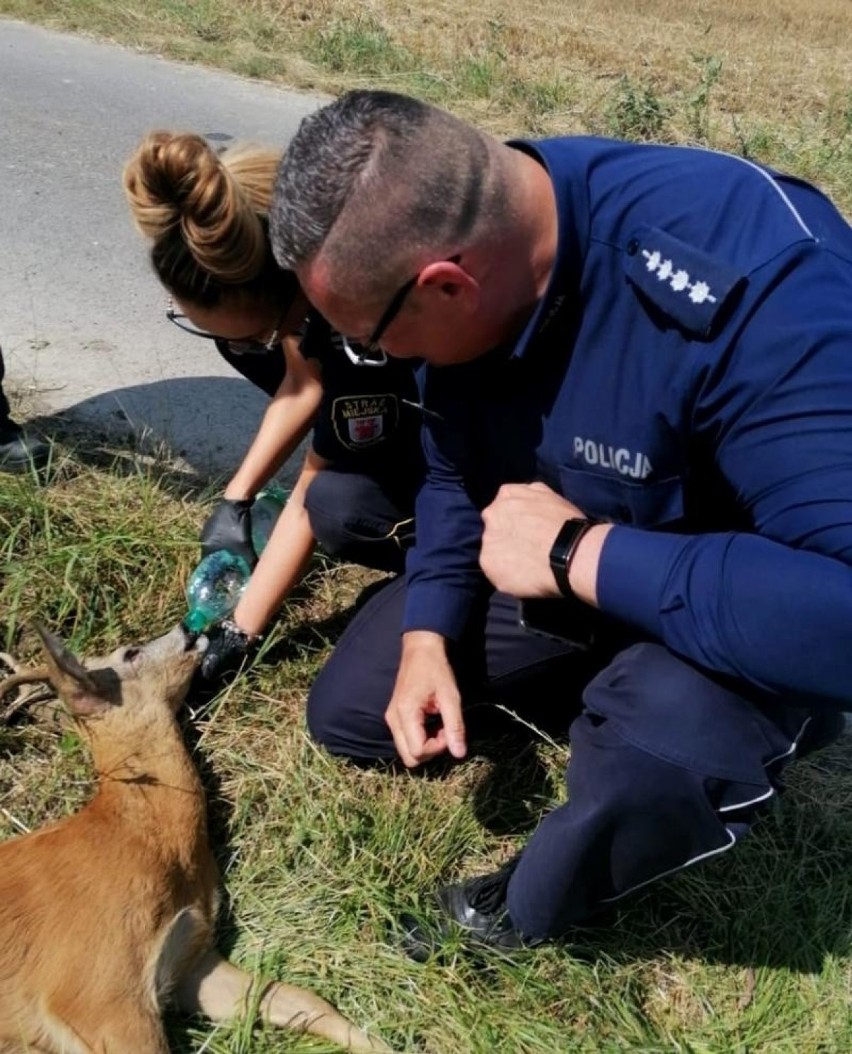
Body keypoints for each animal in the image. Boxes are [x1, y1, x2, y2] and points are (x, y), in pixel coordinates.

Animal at [0, 623, 390, 1054]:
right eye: (130, 653)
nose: (188, 628)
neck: (140, 837)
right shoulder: (98, 988)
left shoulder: (190, 956)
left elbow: (299, 999)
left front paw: (384, 1044)